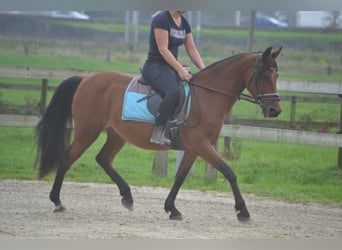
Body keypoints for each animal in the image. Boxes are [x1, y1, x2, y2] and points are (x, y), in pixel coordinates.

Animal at [34, 46, 282, 221]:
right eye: (264, 75)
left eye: (277, 75)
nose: (275, 110)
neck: (207, 97)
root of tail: (86, 79)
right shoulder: (202, 145)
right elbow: (229, 173)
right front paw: (243, 211)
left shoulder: (194, 148)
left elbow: (180, 176)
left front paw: (172, 208)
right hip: (88, 131)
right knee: (67, 159)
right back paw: (57, 201)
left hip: (116, 134)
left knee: (103, 158)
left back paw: (127, 196)